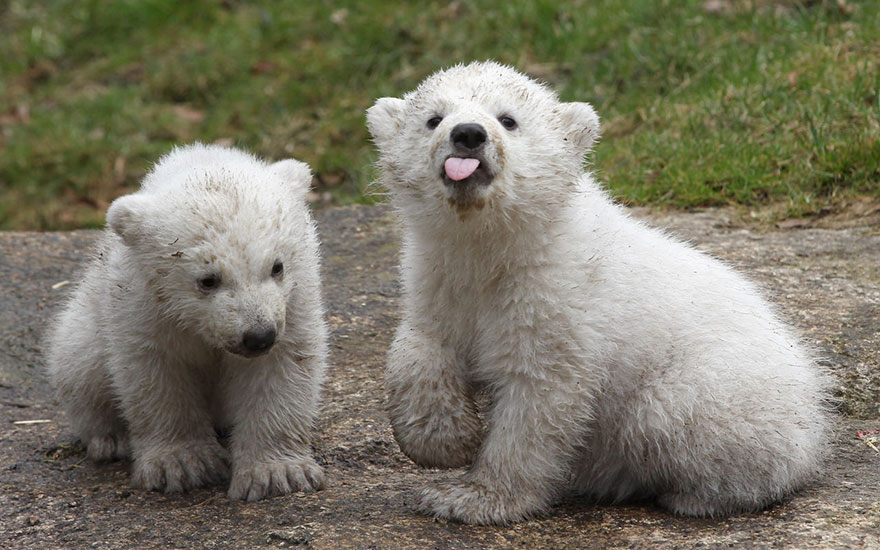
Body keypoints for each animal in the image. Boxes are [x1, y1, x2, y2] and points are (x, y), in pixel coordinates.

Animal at [45, 143, 327, 501]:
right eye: (208, 280)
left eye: (277, 266)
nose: (258, 336)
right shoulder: (144, 305)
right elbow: (158, 375)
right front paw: (182, 465)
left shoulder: (296, 299)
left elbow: (283, 368)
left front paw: (278, 474)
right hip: (83, 324)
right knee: (81, 366)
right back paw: (110, 439)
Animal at [367, 61, 832, 525]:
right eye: (433, 119)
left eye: (508, 119)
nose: (467, 134)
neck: (500, 246)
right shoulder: (436, 275)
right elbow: (422, 342)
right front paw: (443, 442)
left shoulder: (560, 301)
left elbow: (539, 400)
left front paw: (472, 497)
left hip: (725, 390)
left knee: (668, 415)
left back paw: (698, 495)